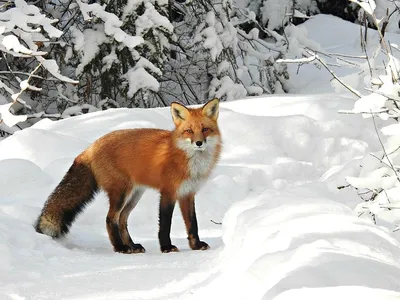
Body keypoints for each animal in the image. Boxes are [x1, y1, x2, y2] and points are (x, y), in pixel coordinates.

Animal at [34, 98, 222, 253]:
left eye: (205, 129)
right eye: (189, 131)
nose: (199, 143)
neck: (189, 161)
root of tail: (91, 147)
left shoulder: (187, 194)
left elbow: (193, 224)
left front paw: (195, 245)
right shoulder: (168, 192)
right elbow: (165, 224)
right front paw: (166, 247)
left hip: (134, 195)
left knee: (122, 220)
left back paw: (131, 245)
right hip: (121, 193)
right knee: (110, 219)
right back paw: (120, 248)